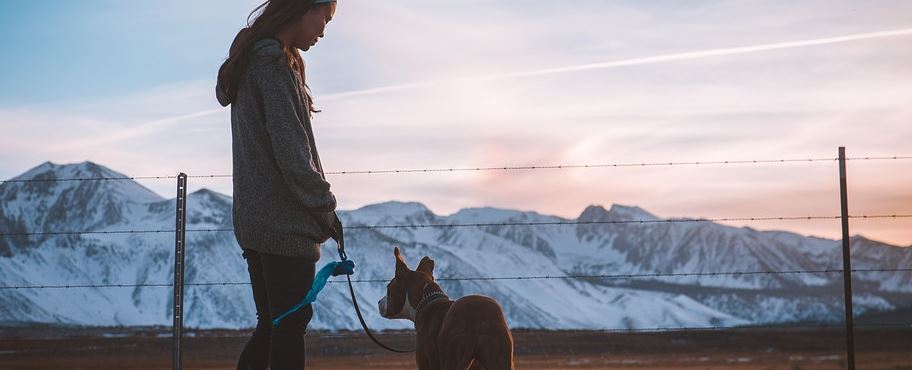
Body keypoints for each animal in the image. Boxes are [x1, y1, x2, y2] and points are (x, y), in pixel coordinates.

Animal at [380, 246, 516, 370]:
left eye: (388, 288)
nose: (378, 302)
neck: (425, 299)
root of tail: (475, 319)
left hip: (451, 354)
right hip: (500, 358)